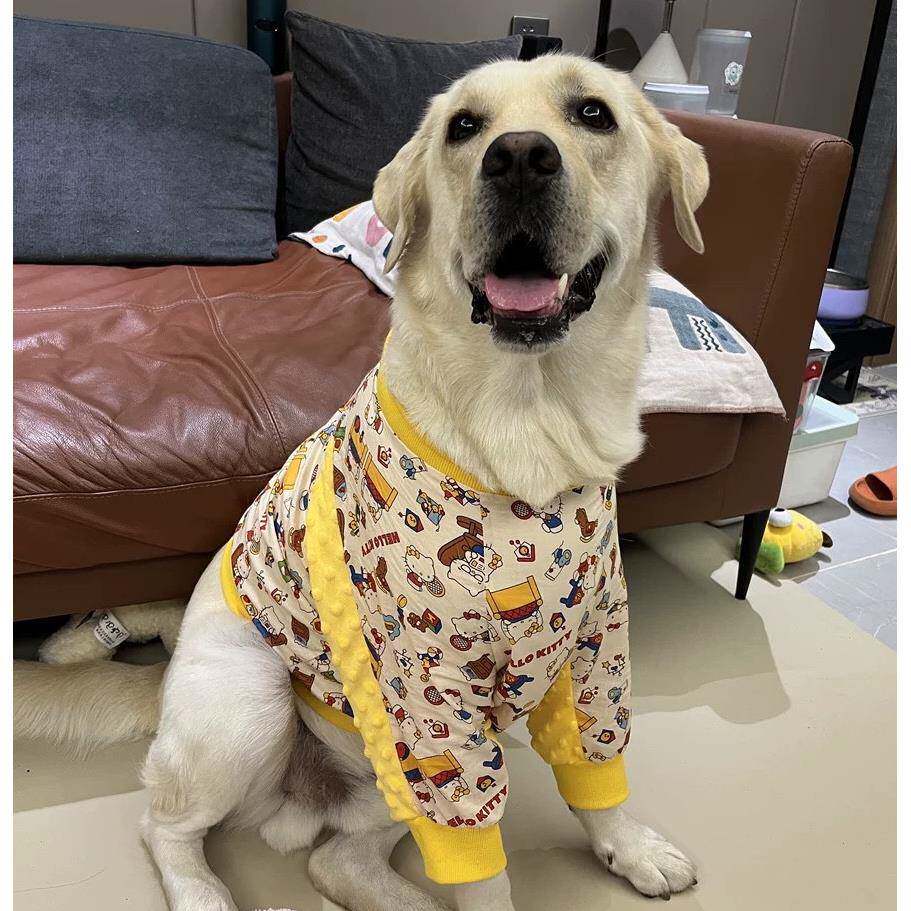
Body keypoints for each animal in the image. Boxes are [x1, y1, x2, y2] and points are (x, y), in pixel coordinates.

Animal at [14, 54, 708, 910]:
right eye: (464, 126)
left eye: (592, 113)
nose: (518, 157)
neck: (527, 425)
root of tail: (166, 684)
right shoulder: (428, 693)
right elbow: (483, 866)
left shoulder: (594, 644)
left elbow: (593, 764)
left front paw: (628, 845)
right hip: (257, 702)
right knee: (164, 825)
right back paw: (204, 891)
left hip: (388, 769)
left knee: (335, 861)